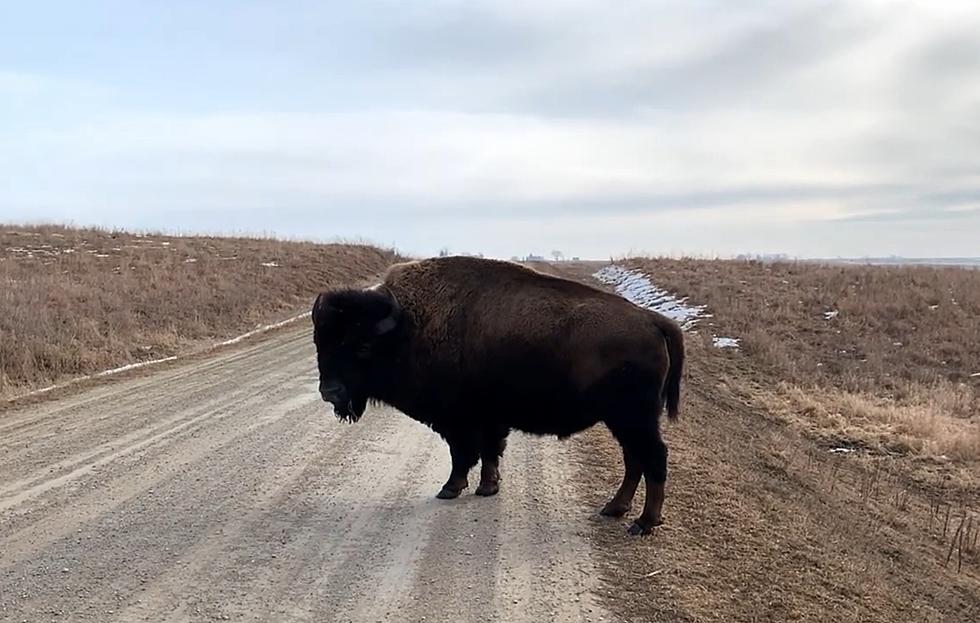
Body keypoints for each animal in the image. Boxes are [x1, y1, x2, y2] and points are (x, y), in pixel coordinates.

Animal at [310, 256, 684, 532]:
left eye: (362, 345)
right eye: (320, 343)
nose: (330, 392)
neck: (407, 327)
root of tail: (653, 320)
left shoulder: (458, 420)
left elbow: (463, 455)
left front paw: (450, 489)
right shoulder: (489, 418)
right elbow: (490, 452)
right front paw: (488, 487)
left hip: (632, 418)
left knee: (653, 458)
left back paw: (643, 523)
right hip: (622, 421)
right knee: (635, 460)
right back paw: (614, 509)